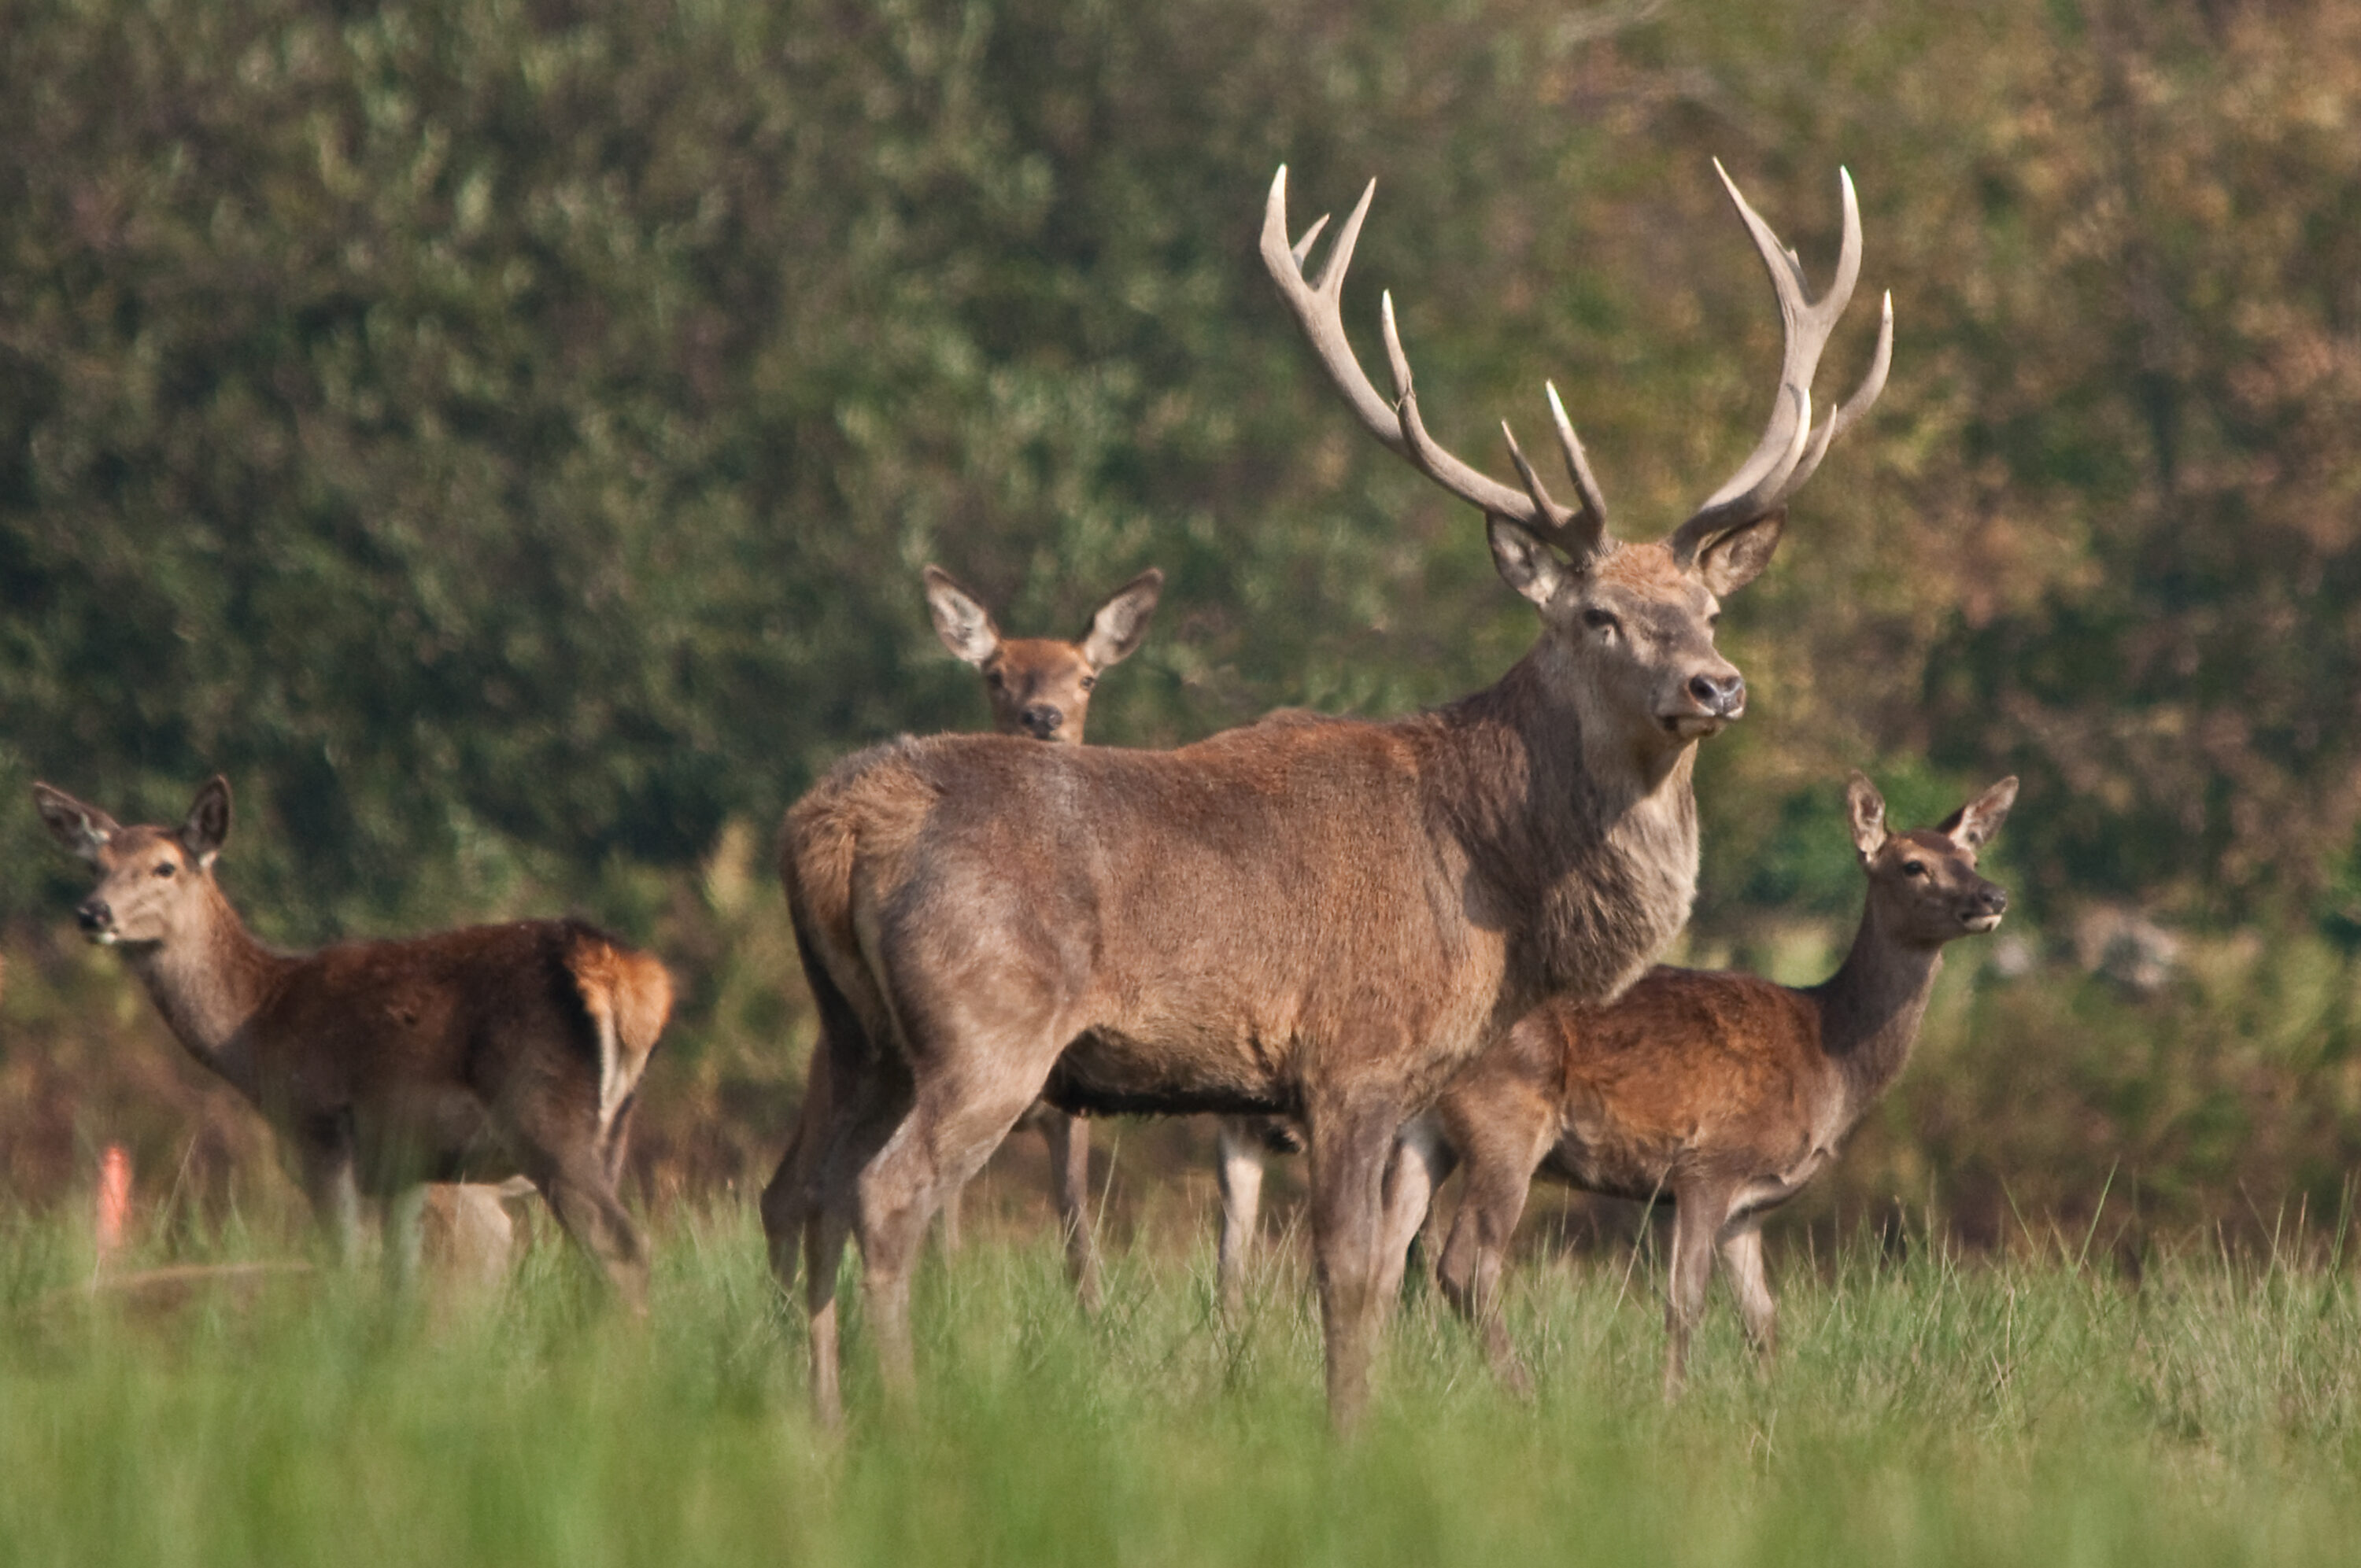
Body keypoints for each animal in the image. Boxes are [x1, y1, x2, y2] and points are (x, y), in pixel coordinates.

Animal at [33, 776, 673, 1307]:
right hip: (612, 1127)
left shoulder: (318, 1122)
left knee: (622, 1246)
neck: (258, 1029)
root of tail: (628, 974)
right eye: (95, 865)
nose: (92, 913)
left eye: (165, 866)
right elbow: (400, 1280)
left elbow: (345, 1262)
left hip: (540, 1110)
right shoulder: (407, 1168)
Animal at [766, 160, 1891, 1427]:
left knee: (797, 1192)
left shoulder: (1402, 1089)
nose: (1717, 683)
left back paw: (818, 1424)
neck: (1495, 879)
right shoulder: (1352, 1056)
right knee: (887, 1196)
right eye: (1598, 615)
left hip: (852, 1029)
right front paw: (1348, 1434)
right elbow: (1350, 1273)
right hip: (983, 1023)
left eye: (1708, 609)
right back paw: (905, 1420)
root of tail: (833, 824)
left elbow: (1381, 1271)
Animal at [1375, 773, 2015, 1397]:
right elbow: (1686, 1303)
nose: (1993, 897)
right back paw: (1525, 1394)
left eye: (1971, 855)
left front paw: (1772, 1406)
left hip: (1422, 1132)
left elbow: (1762, 1319)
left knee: (1384, 1261)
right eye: (1912, 864)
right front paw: (1672, 1404)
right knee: (1464, 1263)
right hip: (1506, 1118)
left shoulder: (1749, 1207)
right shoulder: (1709, 1164)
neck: (1828, 1056)